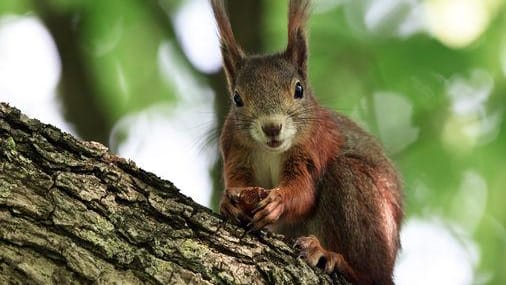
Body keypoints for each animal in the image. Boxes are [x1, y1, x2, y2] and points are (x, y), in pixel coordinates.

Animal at [210, 1, 404, 282]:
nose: (272, 127)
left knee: (369, 274)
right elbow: (238, 182)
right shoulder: (235, 151)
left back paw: (330, 255)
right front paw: (227, 203)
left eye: (299, 89)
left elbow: (304, 191)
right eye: (237, 98)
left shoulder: (312, 146)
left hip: (359, 196)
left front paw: (278, 202)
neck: (270, 151)